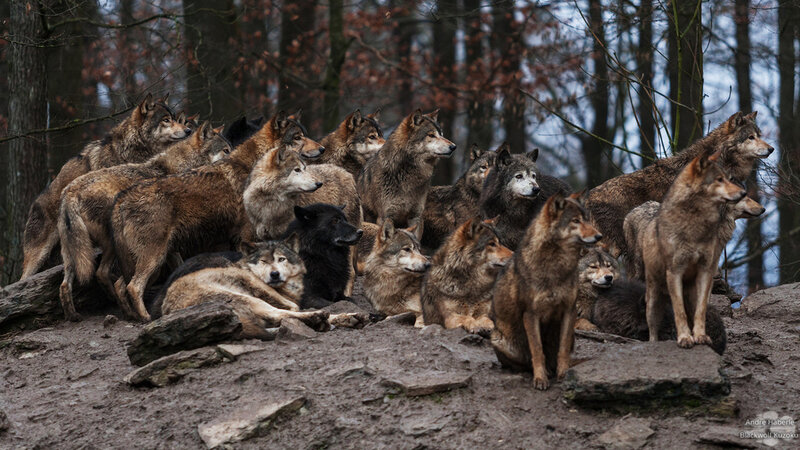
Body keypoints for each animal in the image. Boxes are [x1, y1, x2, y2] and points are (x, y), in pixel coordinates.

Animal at [57, 122, 227, 321]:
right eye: (226, 150)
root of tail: (70, 193)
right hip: (110, 245)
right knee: (102, 273)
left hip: (73, 252)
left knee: (65, 285)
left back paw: (74, 315)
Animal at [110, 111, 319, 321]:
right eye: (298, 137)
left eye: (305, 134)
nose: (322, 148)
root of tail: (122, 198)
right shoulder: (246, 234)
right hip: (155, 257)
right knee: (133, 286)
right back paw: (146, 318)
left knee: (119, 284)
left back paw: (130, 316)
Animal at [491, 192, 601, 390]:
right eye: (576, 221)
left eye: (587, 220)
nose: (599, 236)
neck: (556, 265)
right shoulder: (531, 314)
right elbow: (537, 350)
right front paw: (540, 378)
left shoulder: (569, 311)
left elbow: (562, 349)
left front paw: (563, 373)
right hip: (498, 339)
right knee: (524, 362)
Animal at [641, 153, 745, 348]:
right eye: (719, 179)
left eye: (728, 178)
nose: (744, 193)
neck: (695, 224)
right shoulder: (675, 272)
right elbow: (678, 311)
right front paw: (684, 338)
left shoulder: (706, 271)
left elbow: (701, 311)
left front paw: (700, 336)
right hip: (653, 300)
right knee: (653, 330)